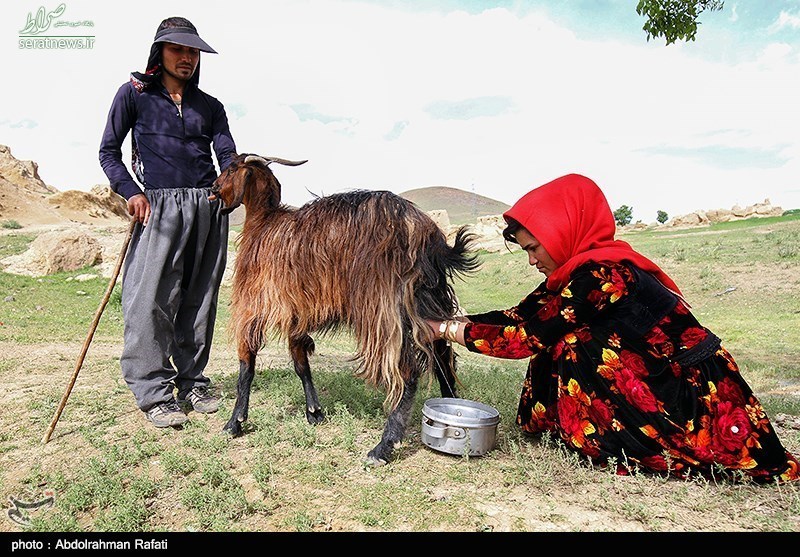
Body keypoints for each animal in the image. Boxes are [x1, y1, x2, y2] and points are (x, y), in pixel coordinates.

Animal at [209, 153, 479, 465]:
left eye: (230, 168)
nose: (213, 188)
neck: (263, 223)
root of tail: (424, 233)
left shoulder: (253, 306)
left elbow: (247, 365)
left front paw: (234, 422)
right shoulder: (296, 313)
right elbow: (301, 363)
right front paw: (314, 412)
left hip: (381, 309)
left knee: (408, 371)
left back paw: (383, 447)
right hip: (428, 299)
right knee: (442, 357)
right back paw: (450, 406)